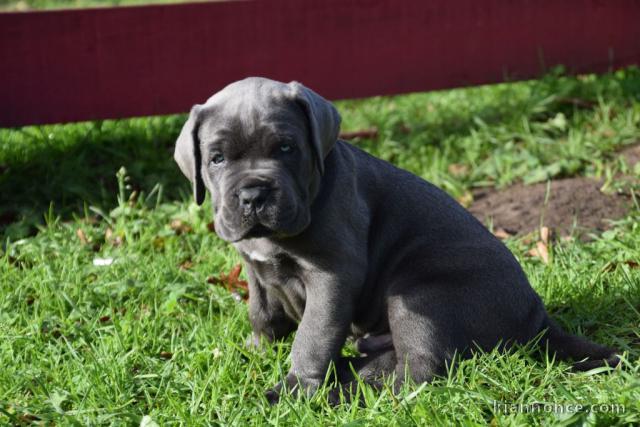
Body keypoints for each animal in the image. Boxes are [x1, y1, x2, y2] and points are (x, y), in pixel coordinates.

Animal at [175, 77, 620, 404]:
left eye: (286, 148)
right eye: (217, 159)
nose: (253, 195)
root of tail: (536, 317)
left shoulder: (331, 278)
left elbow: (312, 336)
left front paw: (295, 389)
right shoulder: (257, 271)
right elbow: (263, 315)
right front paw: (254, 351)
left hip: (418, 296)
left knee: (419, 371)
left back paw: (344, 395)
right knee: (390, 359)